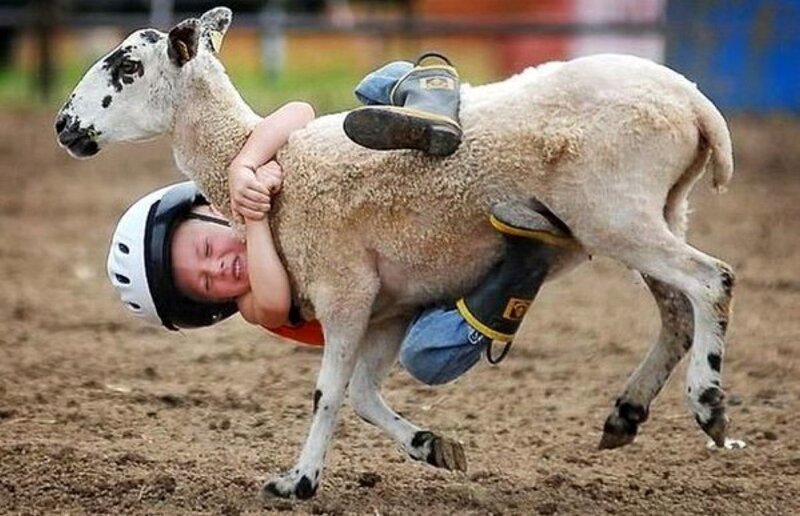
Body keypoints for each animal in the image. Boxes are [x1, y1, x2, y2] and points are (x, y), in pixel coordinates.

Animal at [55, 7, 736, 499]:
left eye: (127, 67)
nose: (63, 126)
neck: (272, 166)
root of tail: (696, 103)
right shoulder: (388, 309)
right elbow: (361, 395)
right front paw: (431, 447)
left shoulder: (345, 291)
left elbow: (328, 393)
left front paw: (299, 482)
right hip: (656, 209)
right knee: (677, 314)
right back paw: (627, 413)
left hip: (616, 212)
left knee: (712, 280)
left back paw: (707, 402)